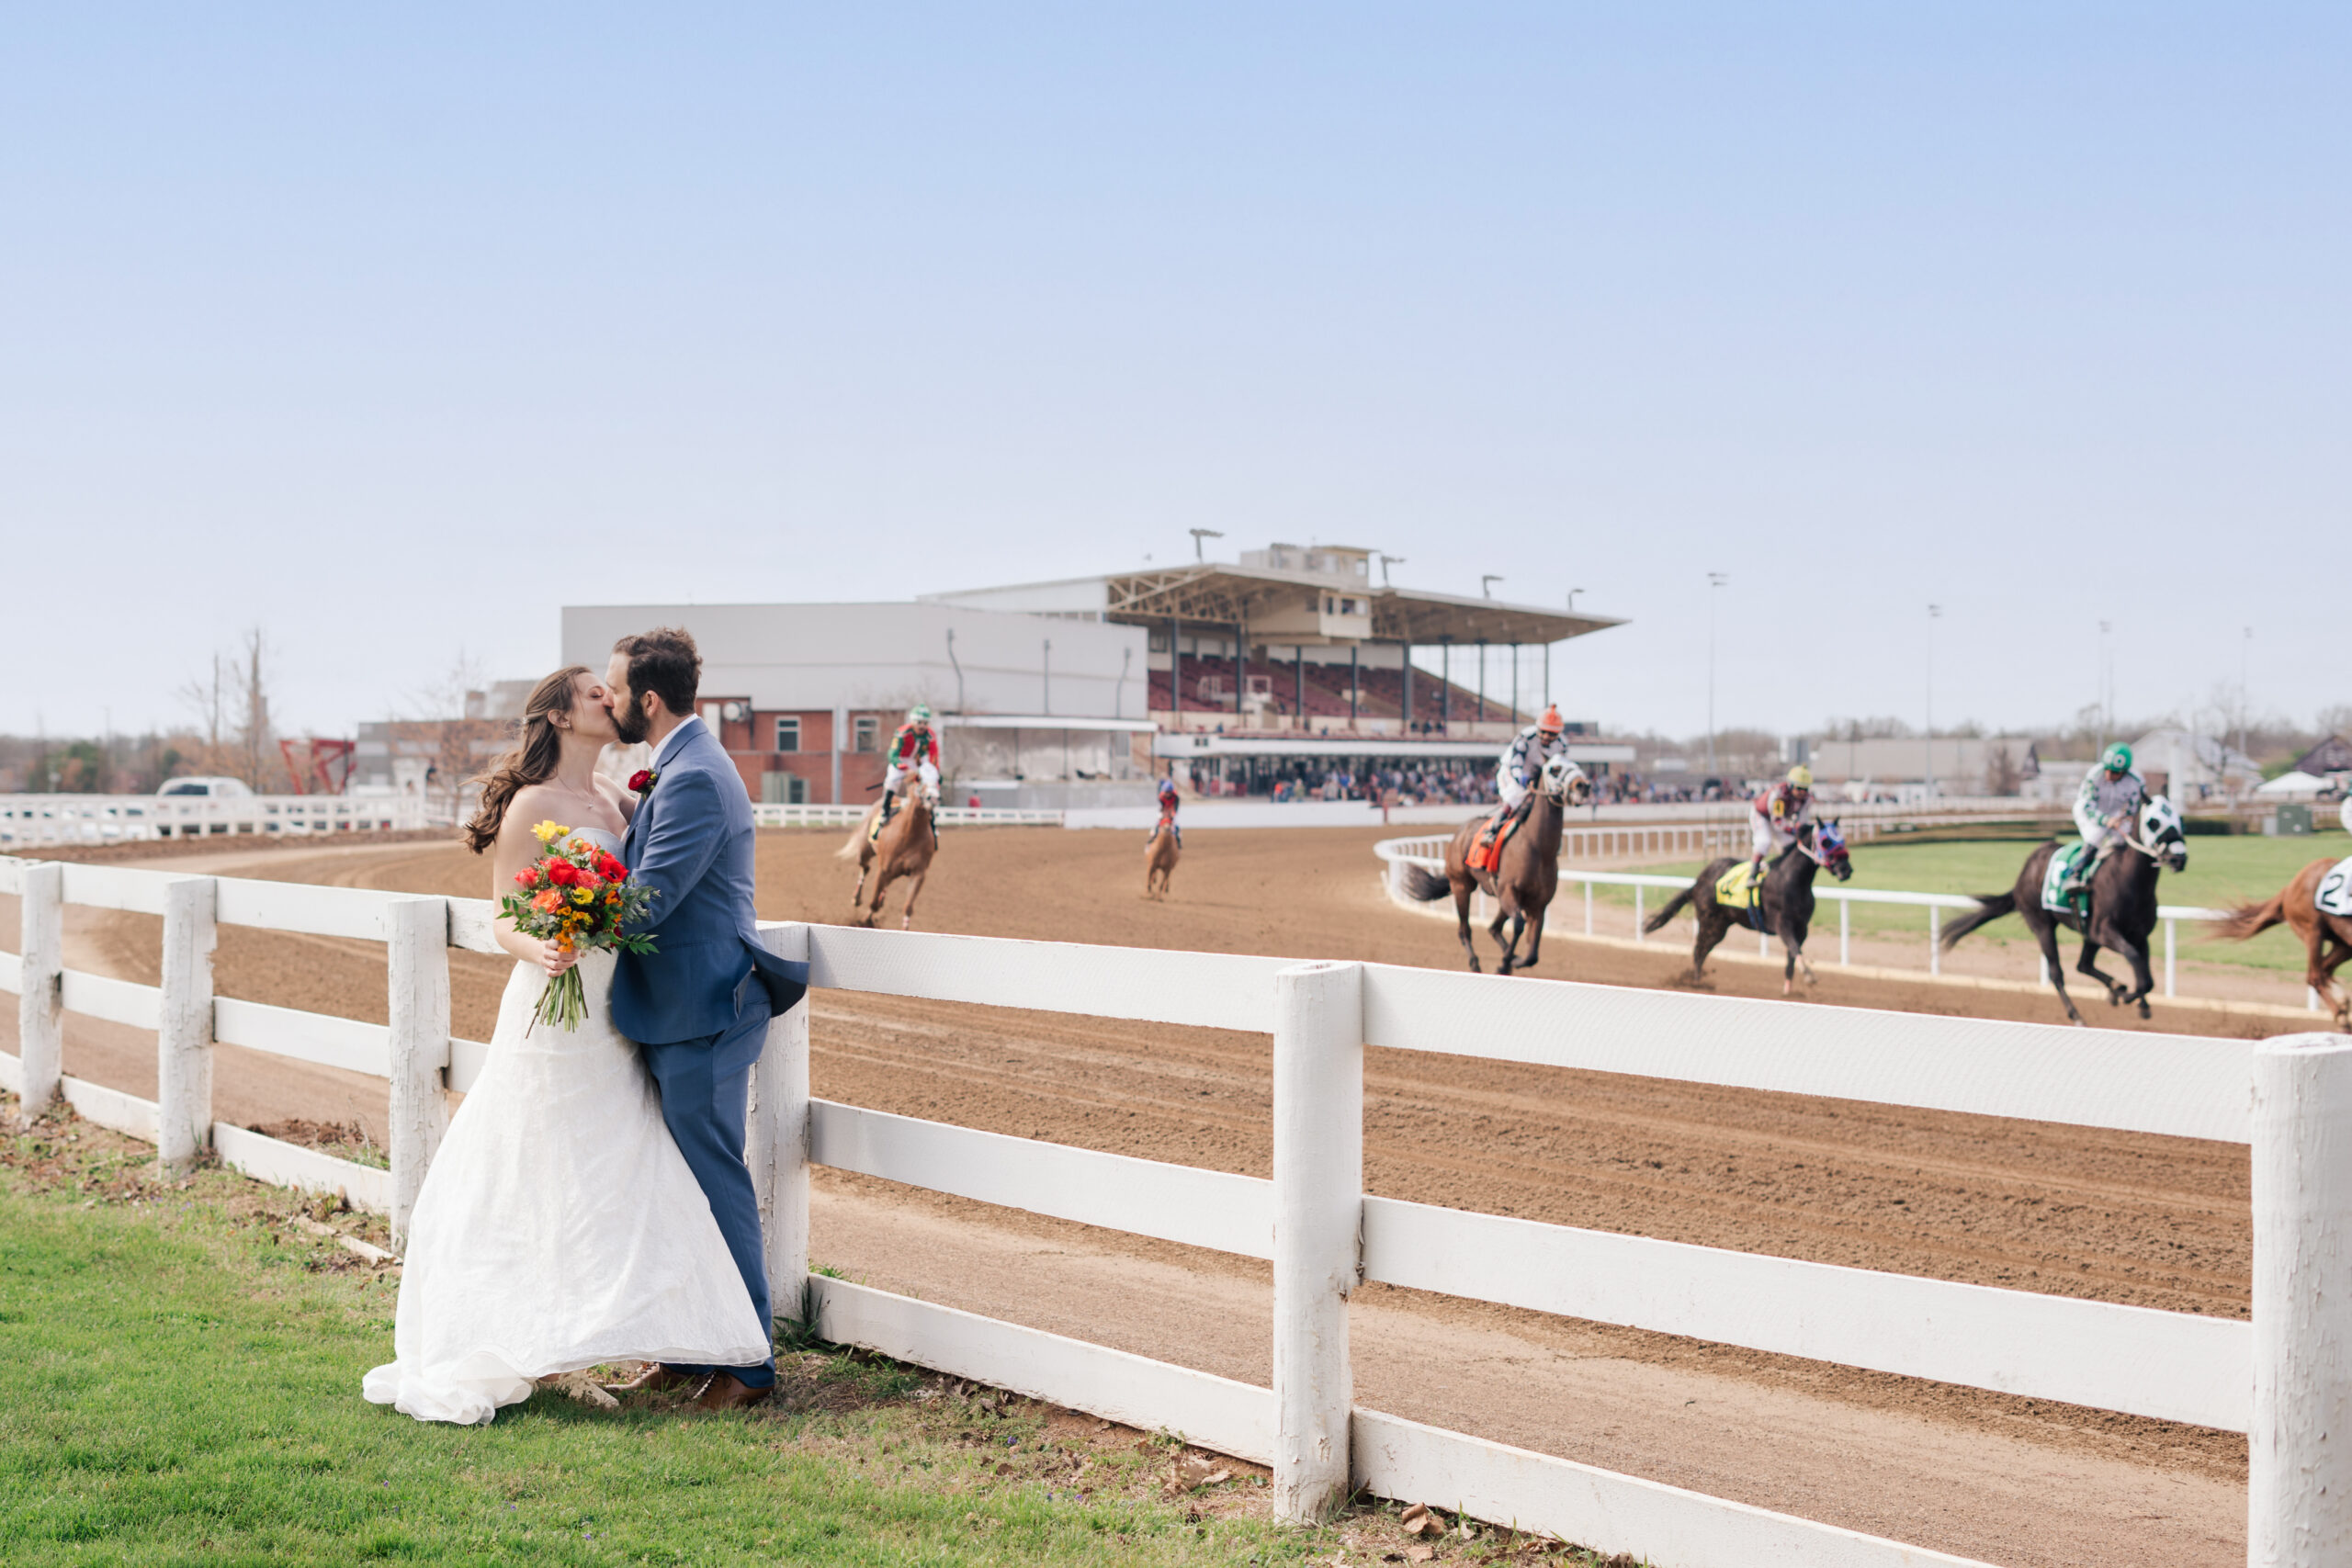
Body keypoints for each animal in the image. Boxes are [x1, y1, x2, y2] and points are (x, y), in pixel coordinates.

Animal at [832, 775, 931, 926]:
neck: (910, 835)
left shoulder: (918, 873)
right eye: (920, 785)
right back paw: (857, 898)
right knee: (865, 868)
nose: (932, 799)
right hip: (865, 851)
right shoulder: (884, 869)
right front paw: (866, 921)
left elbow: (907, 907)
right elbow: (873, 902)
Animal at [1401, 751, 1589, 973]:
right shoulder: (1508, 891)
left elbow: (1532, 955)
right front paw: (1505, 963)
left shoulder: (1538, 904)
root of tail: (1460, 833)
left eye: (1576, 764)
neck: (1538, 848)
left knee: (1493, 928)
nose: (1583, 786)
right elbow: (1518, 925)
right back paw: (1475, 964)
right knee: (1465, 929)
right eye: (1555, 769)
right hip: (1461, 886)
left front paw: (1510, 962)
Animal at [1646, 822, 1844, 991]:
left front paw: (1789, 991)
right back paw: (1696, 983)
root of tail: (1698, 882)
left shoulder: (1802, 928)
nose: (1846, 869)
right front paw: (1810, 975)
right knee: (1698, 950)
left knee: (1702, 950)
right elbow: (1794, 948)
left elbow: (1792, 956)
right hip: (1710, 922)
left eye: (1842, 839)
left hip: (1721, 925)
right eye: (1825, 842)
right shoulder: (1782, 923)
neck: (1792, 880)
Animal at [1938, 799, 2191, 1029]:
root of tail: (2023, 874)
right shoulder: (2104, 931)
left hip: (2086, 932)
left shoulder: (2138, 935)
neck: (2130, 882)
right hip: (2042, 924)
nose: (2179, 858)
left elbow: (2146, 976)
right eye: (2153, 822)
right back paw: (2077, 1014)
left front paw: (2138, 1002)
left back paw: (2114, 988)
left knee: (2083, 965)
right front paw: (2129, 996)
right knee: (2057, 972)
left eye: (2179, 819)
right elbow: (2134, 960)